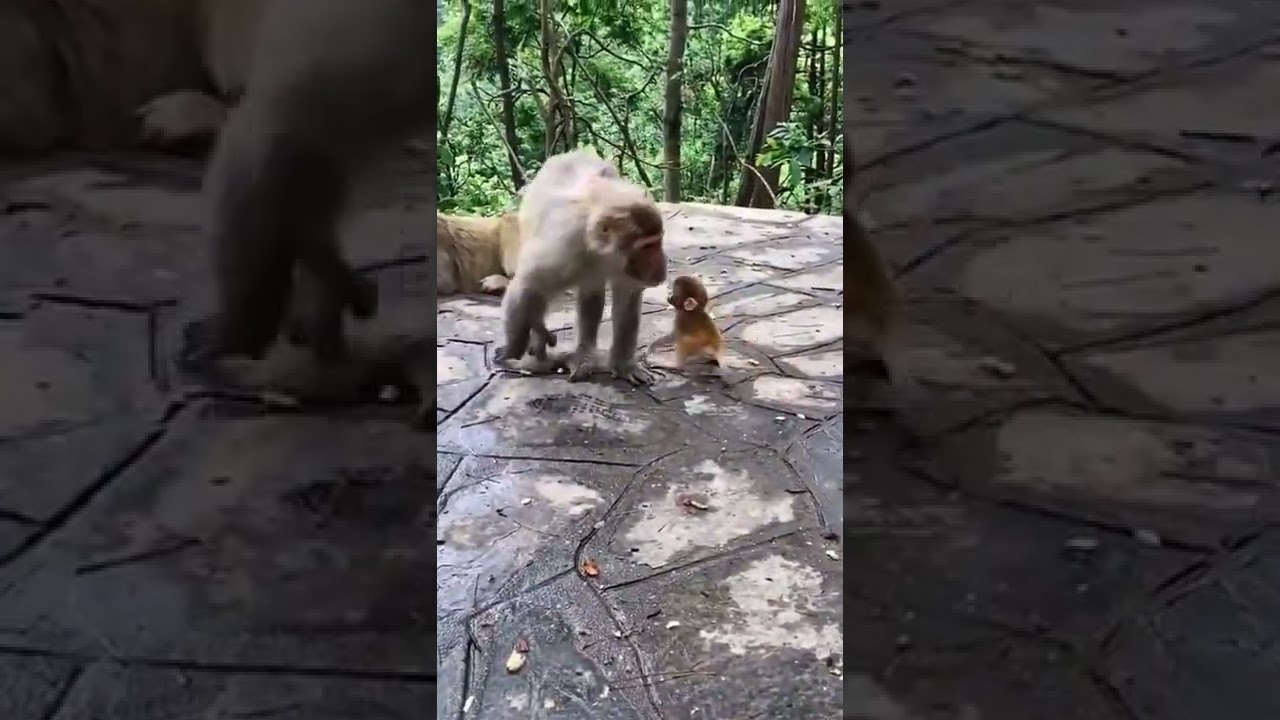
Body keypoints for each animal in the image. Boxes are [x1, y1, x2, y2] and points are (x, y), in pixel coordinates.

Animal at [498, 149, 667, 385]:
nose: (662, 264)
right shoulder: (561, 249)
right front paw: (513, 351)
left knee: (591, 293)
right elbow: (526, 286)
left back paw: (584, 354)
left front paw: (624, 365)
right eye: (647, 247)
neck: (598, 249)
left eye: (658, 241)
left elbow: (627, 298)